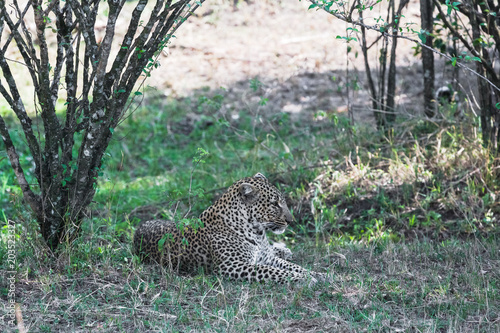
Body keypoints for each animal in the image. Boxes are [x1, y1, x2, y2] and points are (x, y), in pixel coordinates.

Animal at [134, 172, 328, 284]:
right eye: (274, 204)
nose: (291, 220)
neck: (258, 233)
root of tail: (139, 228)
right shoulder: (232, 265)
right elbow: (274, 271)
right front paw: (305, 278)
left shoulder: (266, 257)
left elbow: (292, 266)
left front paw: (318, 274)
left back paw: (284, 249)